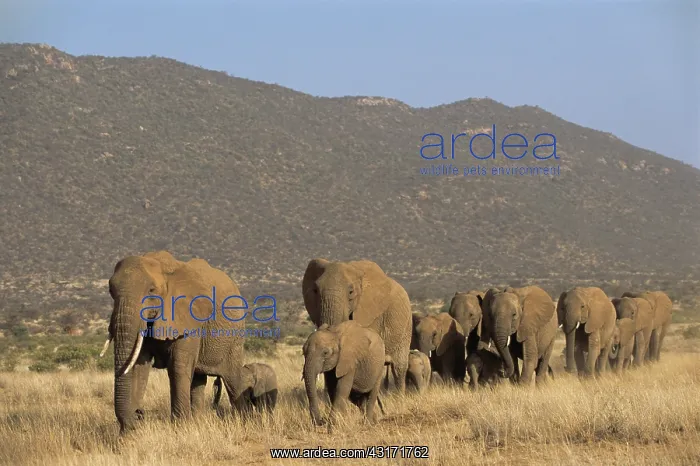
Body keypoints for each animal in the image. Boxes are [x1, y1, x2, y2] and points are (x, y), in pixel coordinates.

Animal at [105, 250, 247, 434]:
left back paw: (242, 421)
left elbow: (177, 368)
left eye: (151, 291)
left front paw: (181, 429)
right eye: (111, 291)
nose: (139, 413)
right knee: (198, 381)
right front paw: (128, 435)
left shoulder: (189, 319)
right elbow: (138, 365)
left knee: (232, 380)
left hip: (234, 337)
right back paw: (198, 423)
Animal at [302, 259, 412, 392]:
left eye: (351, 292)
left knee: (398, 367)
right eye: (315, 291)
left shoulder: (372, 314)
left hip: (406, 325)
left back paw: (398, 395)